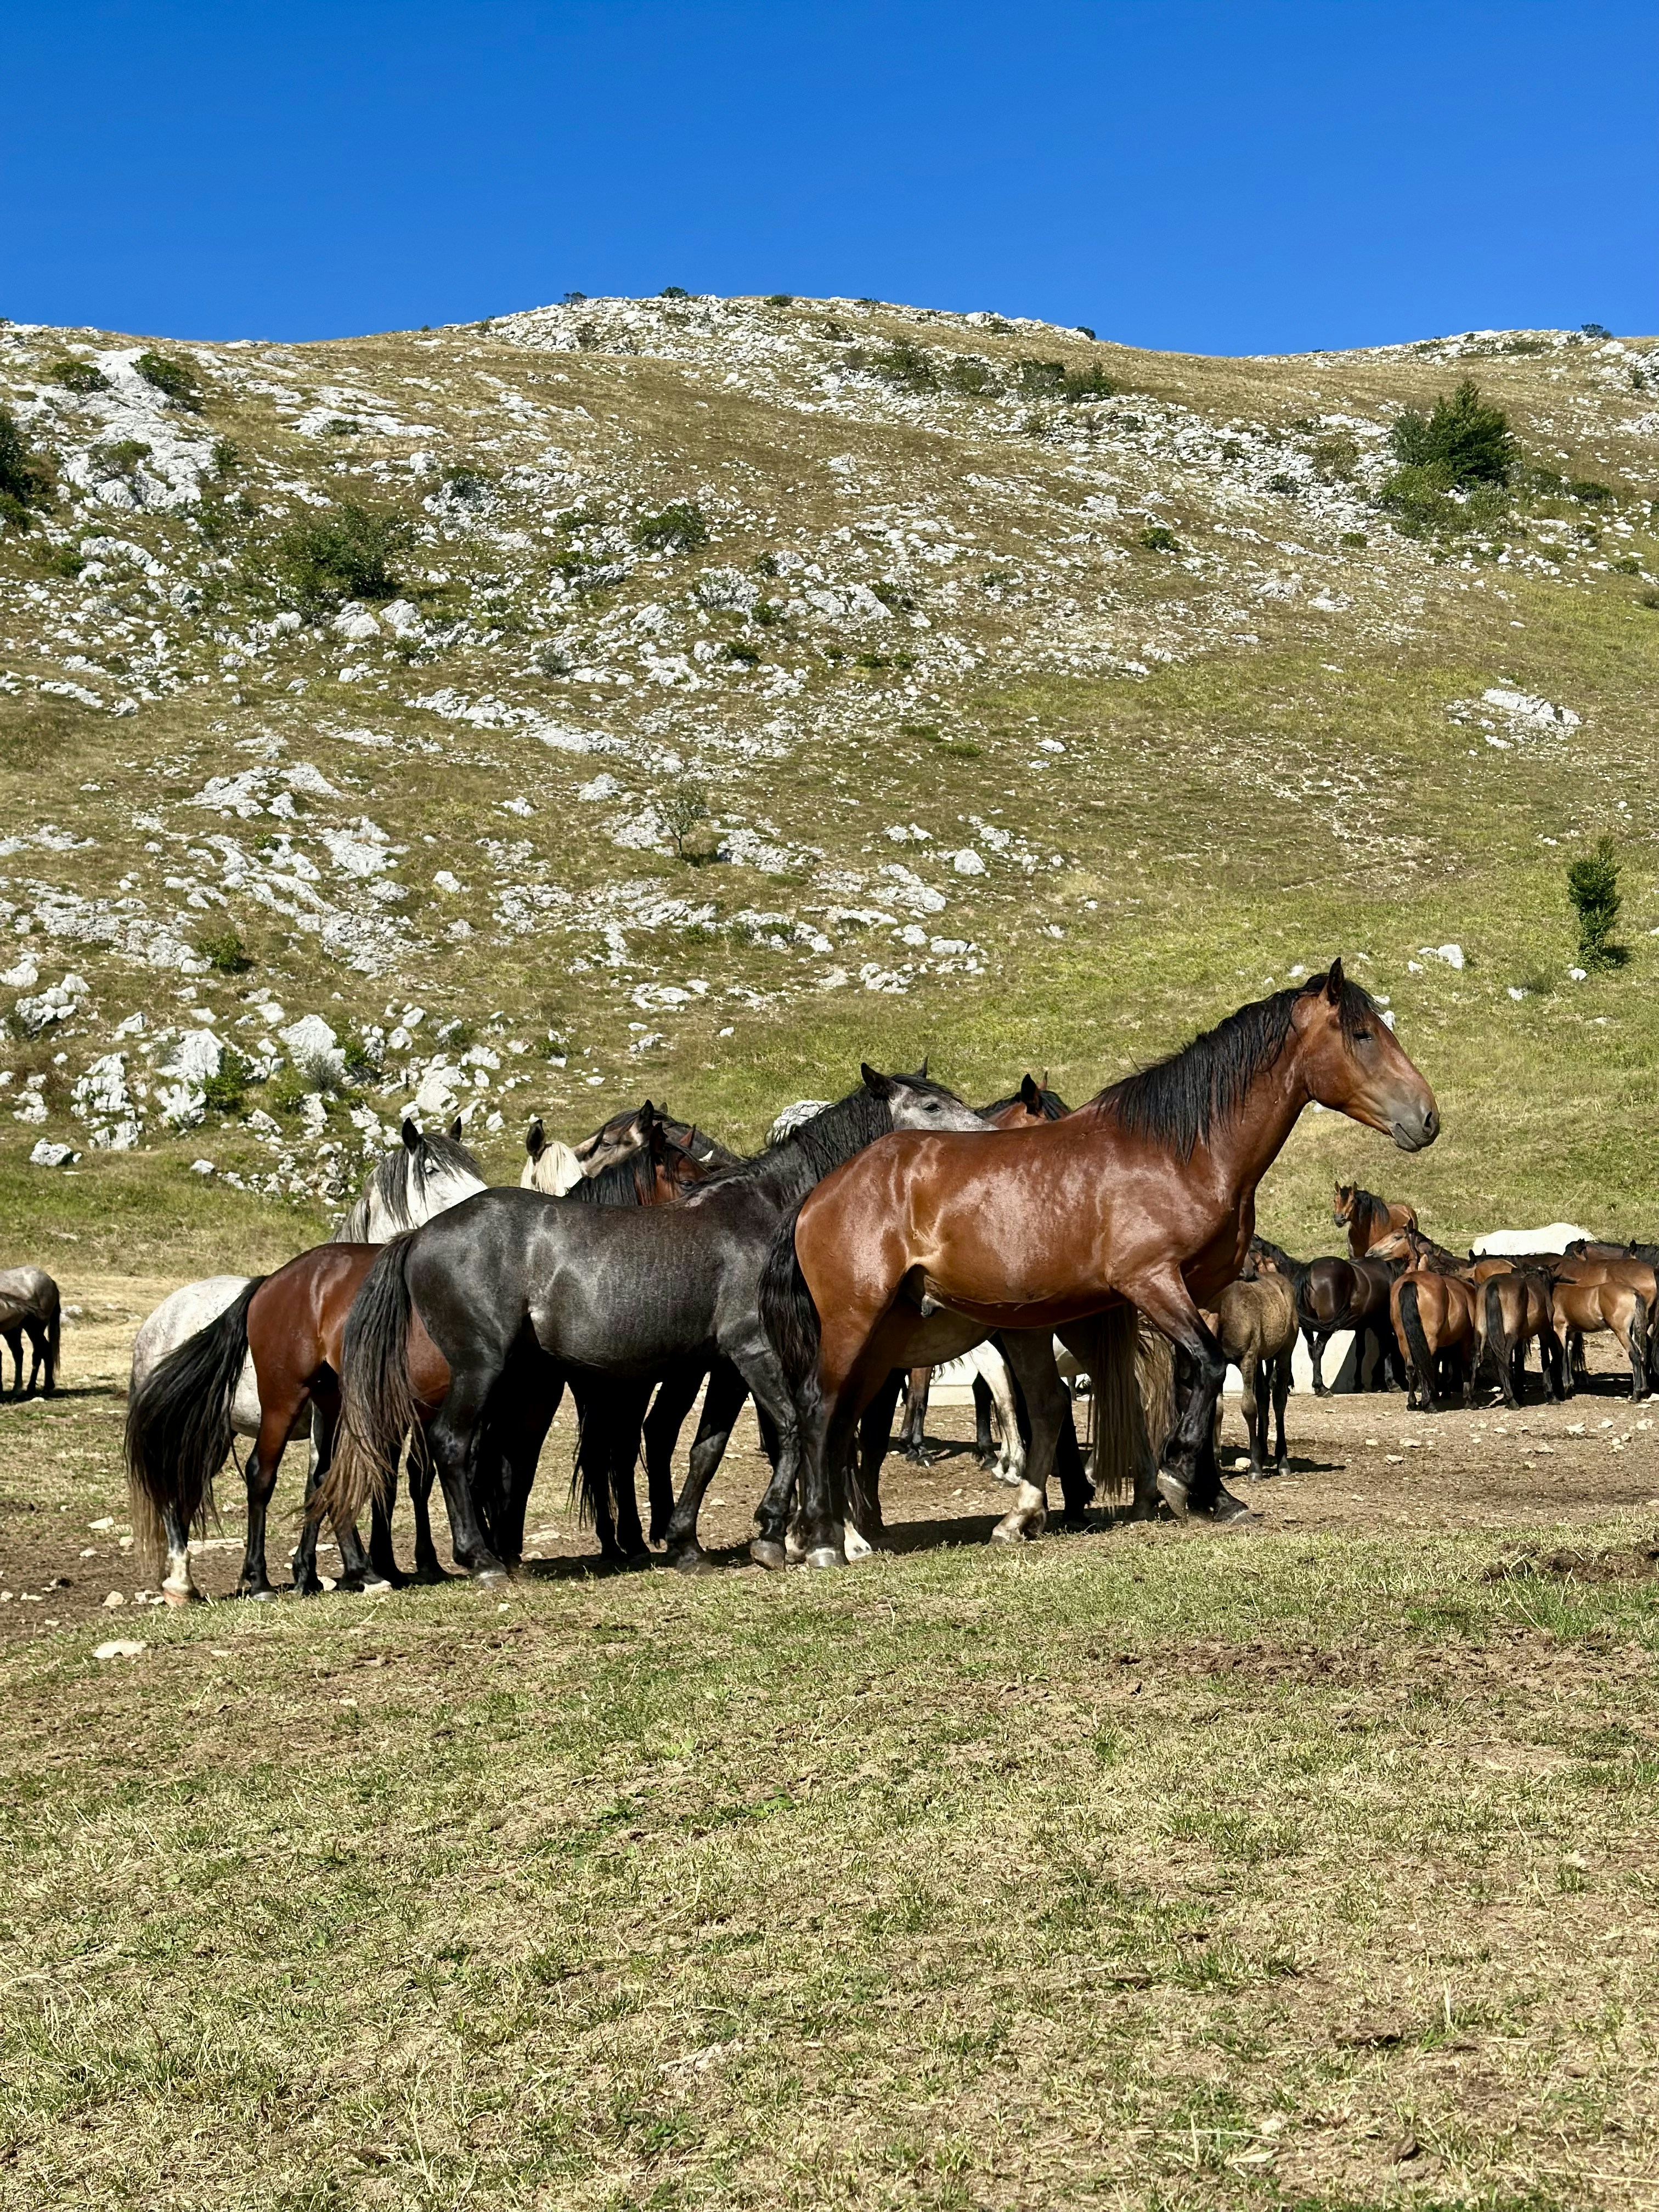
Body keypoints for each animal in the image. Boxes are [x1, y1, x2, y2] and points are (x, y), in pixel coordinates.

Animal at [0, 1266, 60, 1398]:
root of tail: (50, 1281)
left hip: (34, 1328)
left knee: (39, 1352)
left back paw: (33, 1389)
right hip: (16, 1330)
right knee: (21, 1353)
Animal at [126, 1117, 487, 1603]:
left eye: (472, 1164)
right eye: (431, 1171)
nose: (485, 1200)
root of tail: (159, 1318)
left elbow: (395, 1480)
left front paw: (369, 1567)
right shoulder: (330, 1419)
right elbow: (326, 1478)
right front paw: (351, 1569)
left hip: (217, 1431)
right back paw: (186, 1582)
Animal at [321, 1067, 990, 1584]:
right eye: (932, 1105)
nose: (989, 1131)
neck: (768, 1212)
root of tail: (418, 1237)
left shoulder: (724, 1366)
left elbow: (705, 1449)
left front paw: (690, 1542)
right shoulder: (754, 1351)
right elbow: (792, 1429)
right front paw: (776, 1537)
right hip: (478, 1368)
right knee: (453, 1448)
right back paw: (481, 1560)